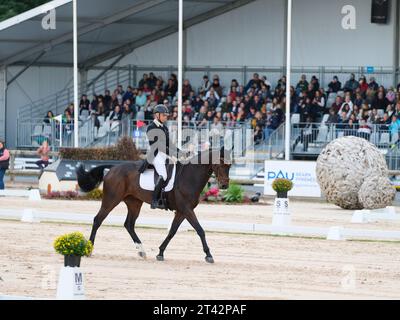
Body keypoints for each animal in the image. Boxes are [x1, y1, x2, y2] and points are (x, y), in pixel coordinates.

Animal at [76, 148, 231, 262]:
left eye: (229, 165)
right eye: (220, 163)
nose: (224, 185)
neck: (189, 177)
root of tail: (113, 168)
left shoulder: (182, 211)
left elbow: (172, 231)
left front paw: (160, 253)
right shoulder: (186, 209)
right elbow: (200, 230)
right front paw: (209, 255)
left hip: (134, 203)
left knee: (129, 224)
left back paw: (141, 251)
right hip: (111, 200)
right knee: (98, 220)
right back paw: (89, 249)